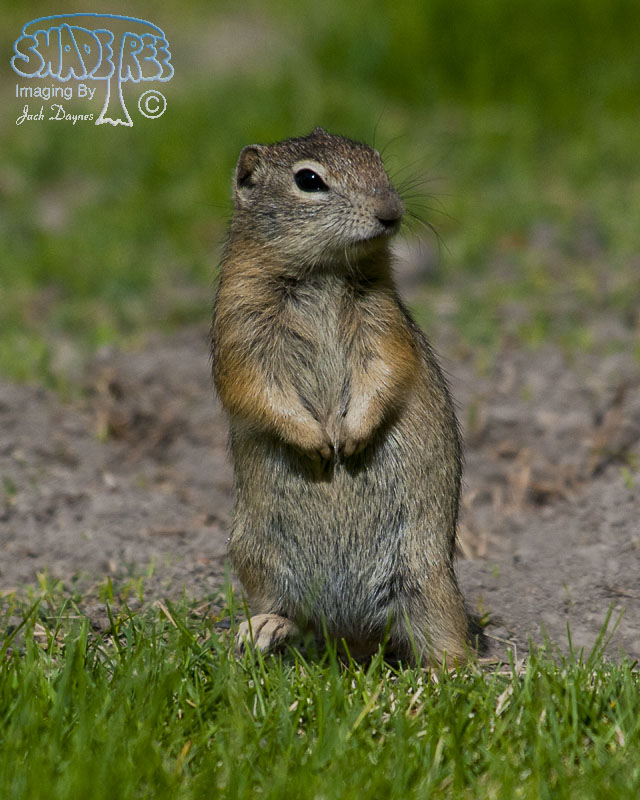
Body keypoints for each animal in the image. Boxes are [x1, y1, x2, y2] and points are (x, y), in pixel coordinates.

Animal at [212, 127, 472, 666]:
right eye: (309, 180)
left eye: (377, 161)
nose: (391, 211)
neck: (323, 273)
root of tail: (349, 634)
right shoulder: (239, 327)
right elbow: (255, 387)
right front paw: (316, 444)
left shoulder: (383, 320)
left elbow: (386, 369)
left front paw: (348, 439)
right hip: (255, 556)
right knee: (292, 613)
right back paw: (261, 629)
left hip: (428, 581)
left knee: (444, 639)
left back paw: (454, 673)